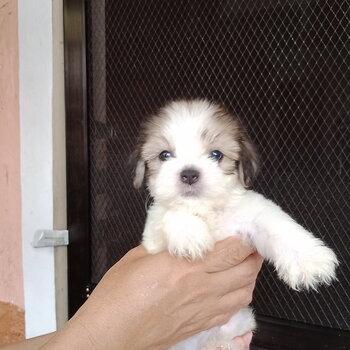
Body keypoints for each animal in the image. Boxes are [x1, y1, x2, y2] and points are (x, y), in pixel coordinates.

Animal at [132, 99, 340, 350]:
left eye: (216, 154)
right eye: (164, 155)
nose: (189, 174)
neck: (208, 211)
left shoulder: (253, 216)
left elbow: (278, 226)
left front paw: (310, 260)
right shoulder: (153, 238)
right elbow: (172, 212)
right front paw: (191, 234)